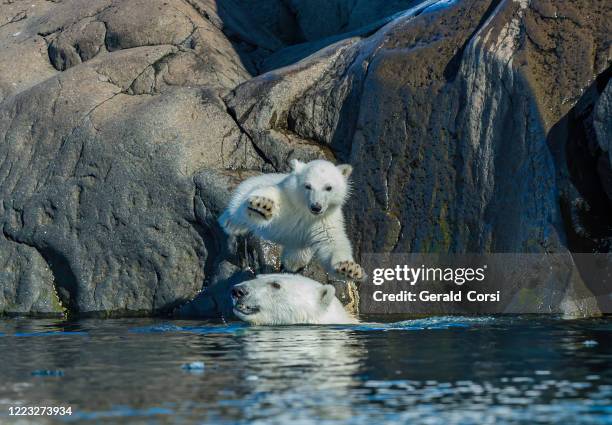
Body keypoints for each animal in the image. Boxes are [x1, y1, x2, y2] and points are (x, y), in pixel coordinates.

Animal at [219, 157, 364, 280]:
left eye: (328, 187)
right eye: (308, 186)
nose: (316, 207)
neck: (304, 210)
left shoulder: (324, 221)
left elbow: (332, 242)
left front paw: (349, 268)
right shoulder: (286, 199)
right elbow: (270, 196)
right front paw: (263, 205)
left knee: (297, 254)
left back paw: (293, 264)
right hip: (246, 188)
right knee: (238, 208)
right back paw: (231, 223)